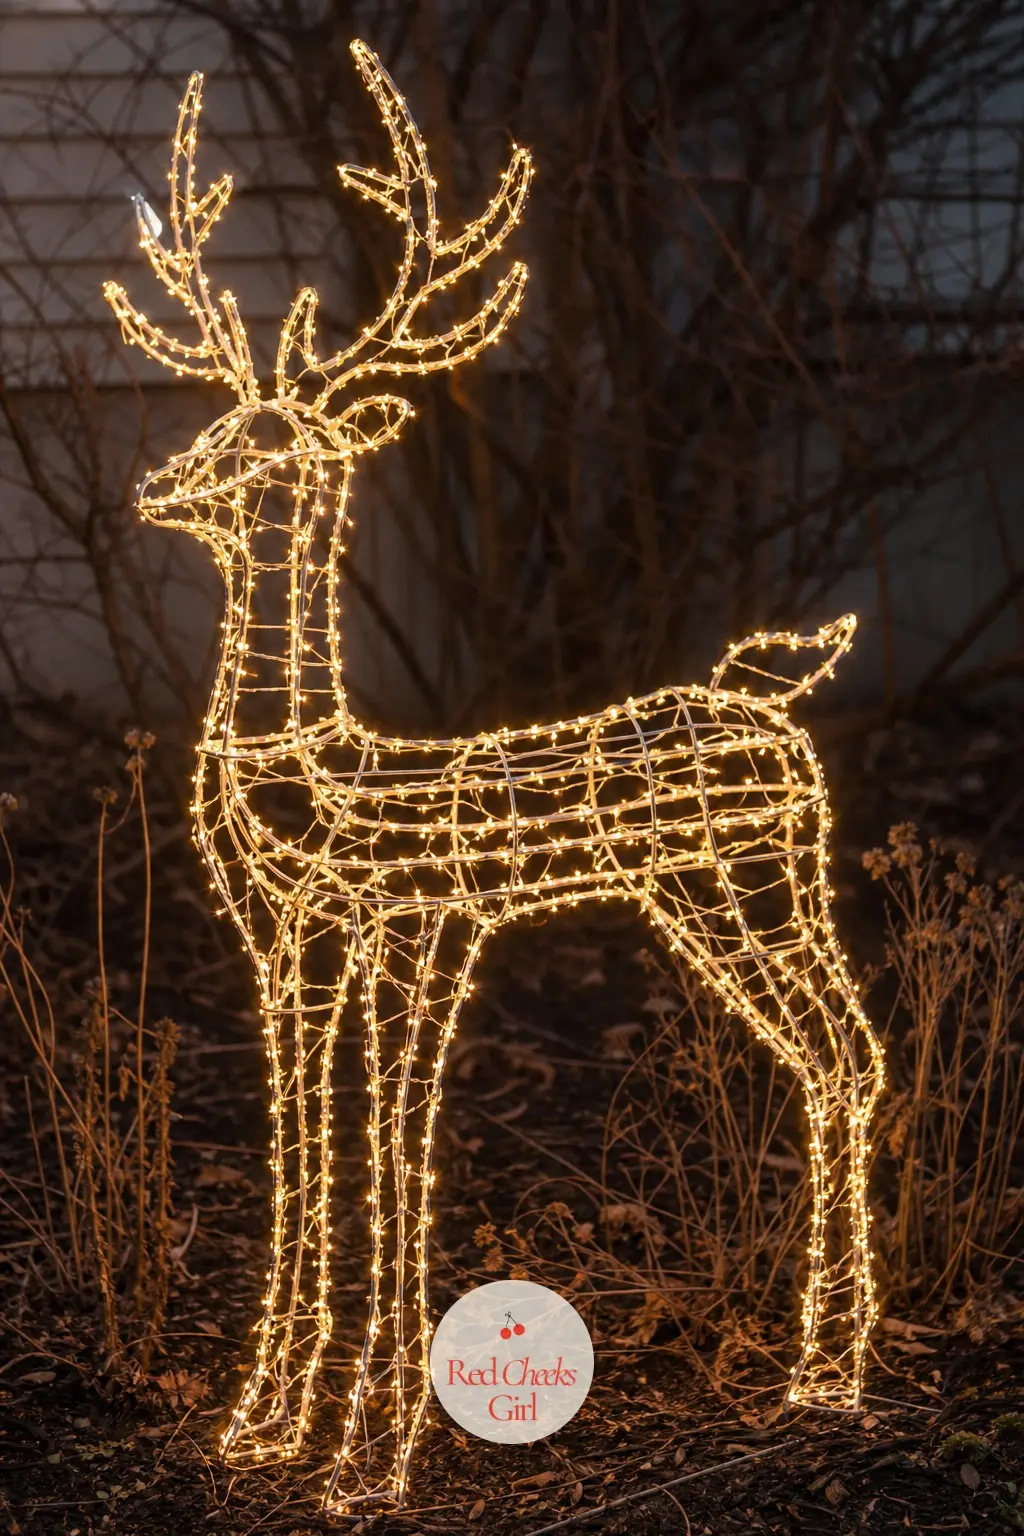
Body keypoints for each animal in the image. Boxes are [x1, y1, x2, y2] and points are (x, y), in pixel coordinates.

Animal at [104, 40, 885, 1517]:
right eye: (222, 422)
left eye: (273, 447)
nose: (155, 488)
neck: (311, 765)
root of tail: (768, 693)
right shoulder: (287, 943)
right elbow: (309, 1144)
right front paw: (265, 1427)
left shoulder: (422, 926)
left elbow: (397, 1148)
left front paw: (370, 1457)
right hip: (716, 895)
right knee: (839, 1058)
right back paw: (826, 1374)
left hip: (759, 881)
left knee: (846, 1055)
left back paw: (831, 1376)